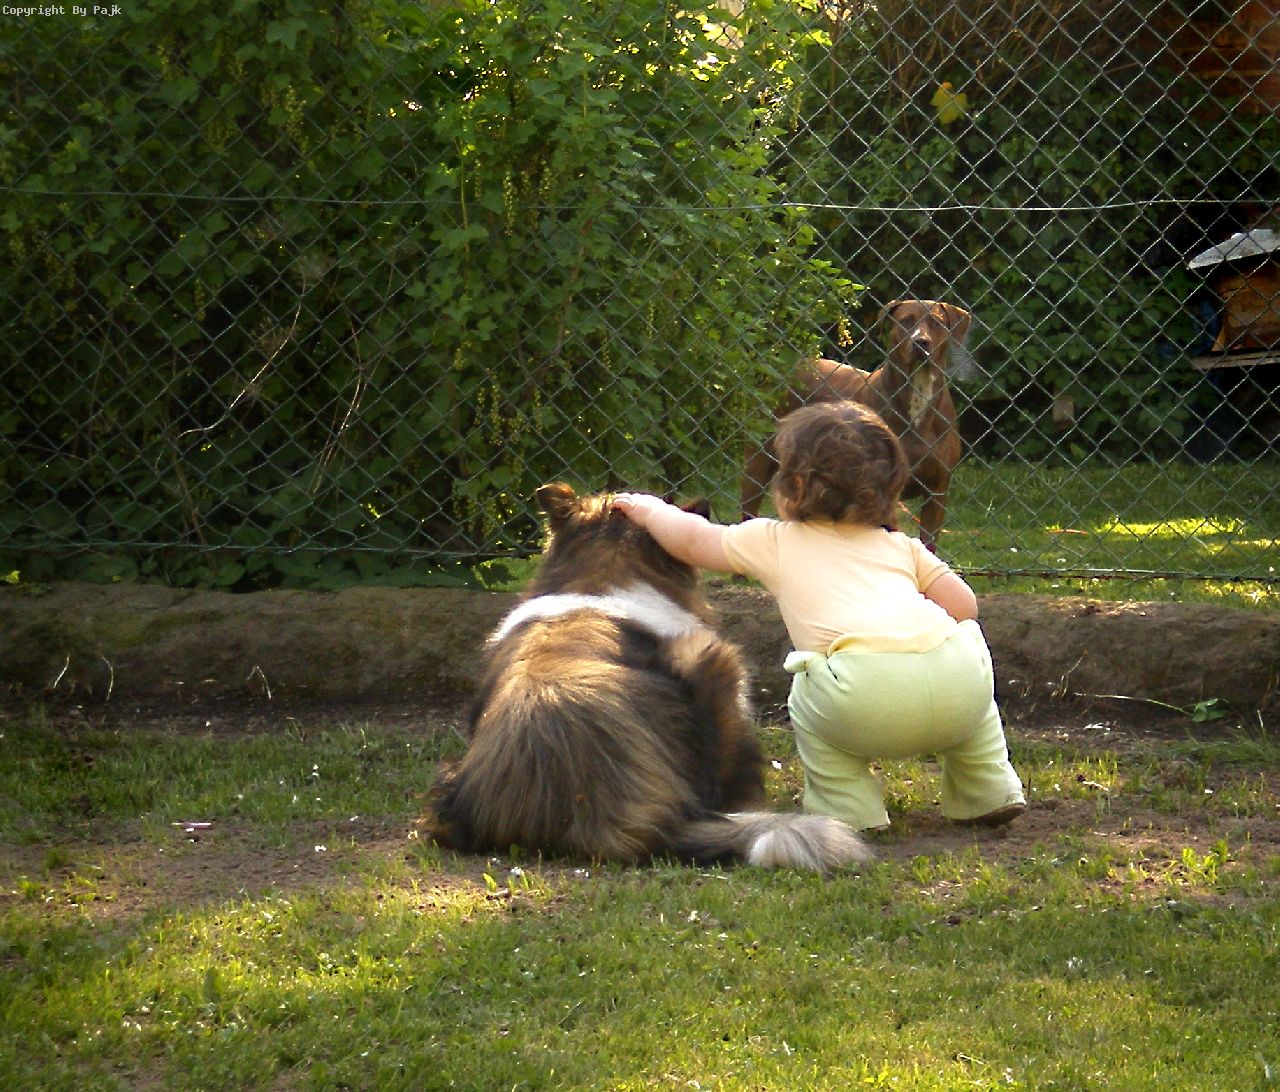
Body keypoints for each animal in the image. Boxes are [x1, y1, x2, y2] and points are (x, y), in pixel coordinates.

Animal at [741, 299, 977, 550]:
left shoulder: (937, 492)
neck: (918, 396)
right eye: (906, 321)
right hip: (759, 460)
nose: (921, 341)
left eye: (936, 323)